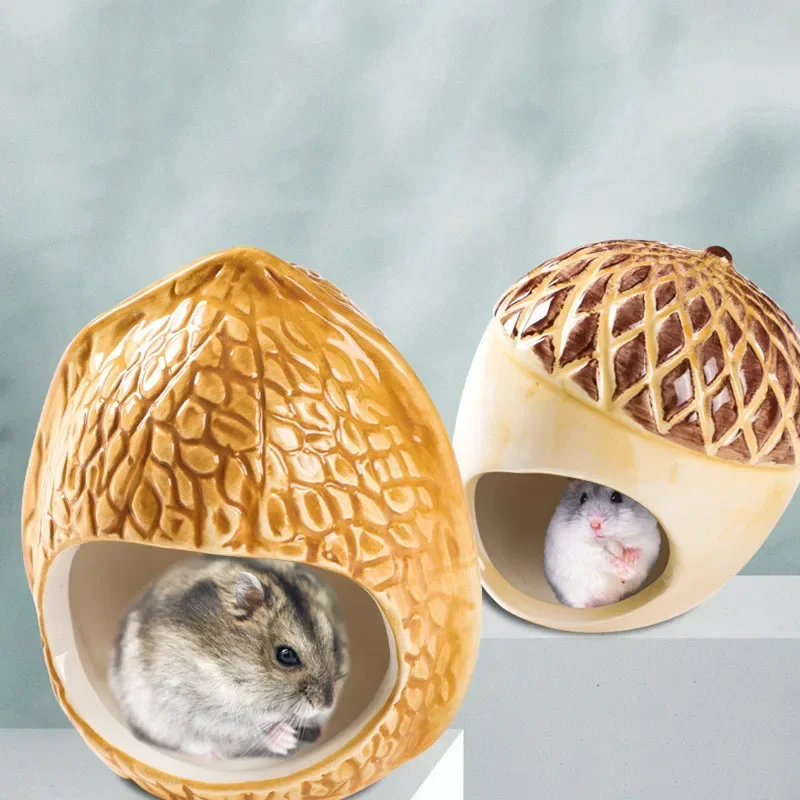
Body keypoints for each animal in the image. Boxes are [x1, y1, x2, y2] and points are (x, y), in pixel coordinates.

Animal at [109, 555, 350, 760]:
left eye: (334, 644)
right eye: (286, 655)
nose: (326, 706)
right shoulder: (204, 711)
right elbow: (248, 729)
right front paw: (287, 739)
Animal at [543, 480, 661, 609]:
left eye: (617, 497)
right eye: (582, 498)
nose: (595, 524)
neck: (608, 540)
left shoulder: (649, 541)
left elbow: (639, 551)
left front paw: (629, 563)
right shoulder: (582, 550)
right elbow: (605, 559)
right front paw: (625, 572)